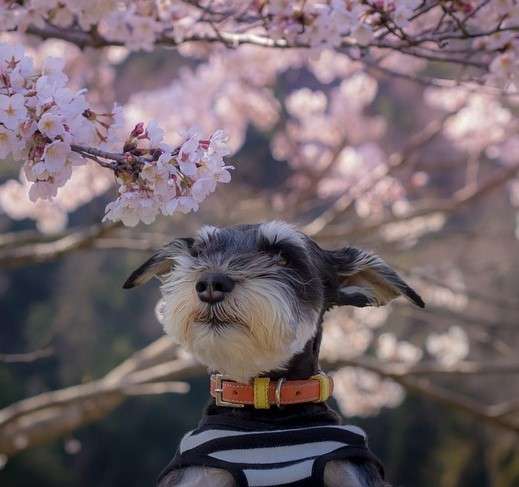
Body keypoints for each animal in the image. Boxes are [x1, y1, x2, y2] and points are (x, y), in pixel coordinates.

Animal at [124, 222, 424, 487]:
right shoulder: (199, 476)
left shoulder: (348, 471)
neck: (264, 403)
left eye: (283, 257)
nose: (210, 282)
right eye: (199, 253)